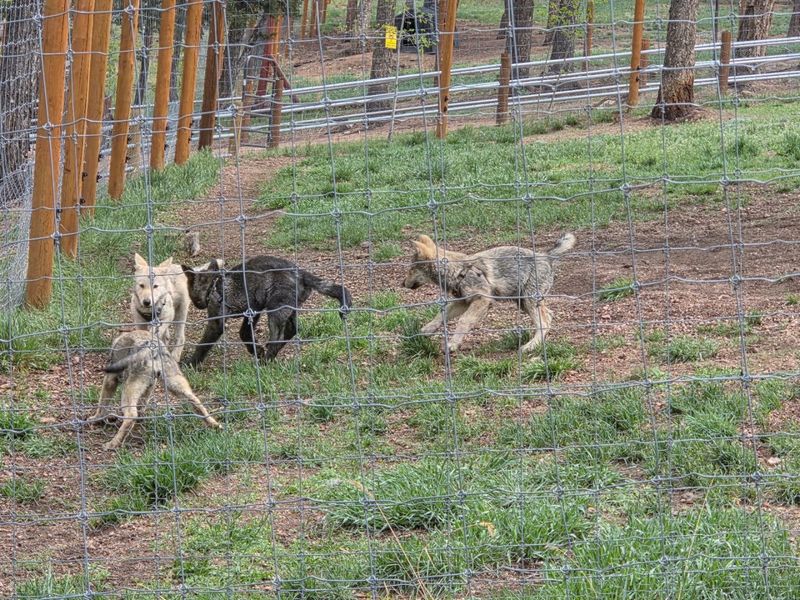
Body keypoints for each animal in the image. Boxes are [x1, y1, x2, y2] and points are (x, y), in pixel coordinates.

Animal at [88, 330, 221, 450]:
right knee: (196, 402)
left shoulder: (110, 380)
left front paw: (96, 418)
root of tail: (153, 348)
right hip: (176, 386)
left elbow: (102, 405)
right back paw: (214, 424)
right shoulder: (150, 385)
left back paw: (113, 443)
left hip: (128, 390)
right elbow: (141, 405)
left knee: (131, 415)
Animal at [181, 255, 352, 367]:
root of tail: (300, 273)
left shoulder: (218, 321)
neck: (215, 285)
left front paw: (191, 363)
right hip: (289, 309)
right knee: (293, 329)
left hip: (276, 310)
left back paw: (266, 360)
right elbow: (245, 334)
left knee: (278, 336)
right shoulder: (254, 310)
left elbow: (203, 344)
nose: (198, 305)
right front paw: (257, 350)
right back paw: (270, 353)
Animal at [402, 233, 576, 355]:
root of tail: (546, 255)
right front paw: (425, 330)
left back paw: (529, 347)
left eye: (411, 270)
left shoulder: (482, 300)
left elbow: (463, 322)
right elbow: (441, 315)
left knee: (544, 323)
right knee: (549, 316)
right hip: (523, 302)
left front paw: (452, 344)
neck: (458, 271)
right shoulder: (462, 302)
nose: (402, 284)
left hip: (528, 301)